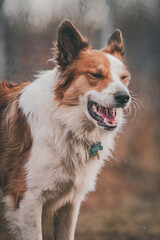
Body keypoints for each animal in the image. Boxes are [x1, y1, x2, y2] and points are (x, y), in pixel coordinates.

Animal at [0, 19, 131, 239]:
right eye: (96, 74)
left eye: (124, 77)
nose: (124, 97)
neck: (65, 122)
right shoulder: (27, 201)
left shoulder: (69, 204)